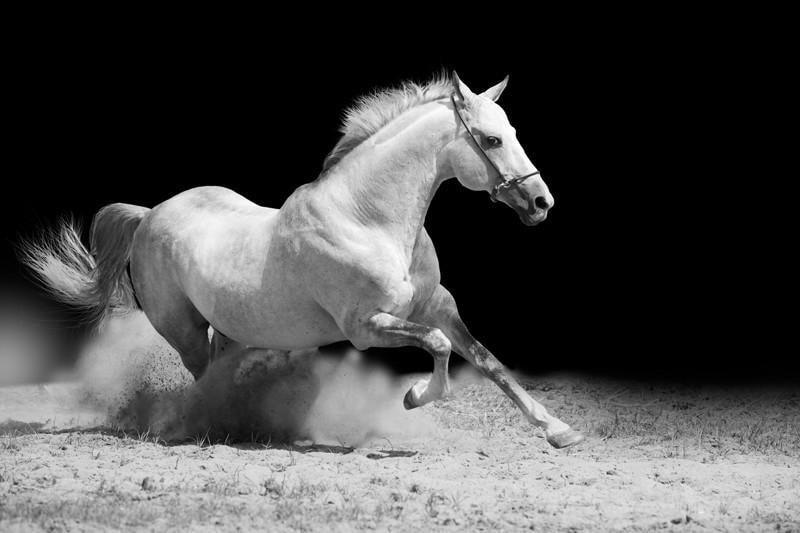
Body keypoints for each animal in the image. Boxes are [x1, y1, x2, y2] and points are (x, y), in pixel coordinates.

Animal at [22, 73, 583, 448]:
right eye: (491, 139)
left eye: (513, 131)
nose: (541, 203)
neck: (367, 219)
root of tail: (150, 214)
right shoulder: (366, 326)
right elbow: (441, 348)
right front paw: (413, 397)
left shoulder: (437, 307)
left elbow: (487, 360)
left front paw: (559, 430)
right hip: (183, 329)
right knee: (202, 379)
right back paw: (208, 426)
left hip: (231, 330)